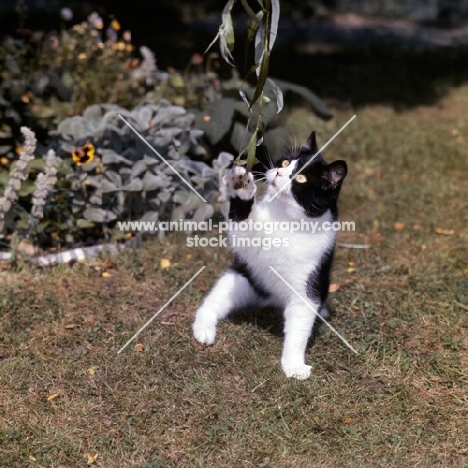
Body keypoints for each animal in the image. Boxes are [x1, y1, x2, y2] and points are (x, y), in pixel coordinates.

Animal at [192, 132, 346, 380]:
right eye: (284, 163)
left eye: (301, 178)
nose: (278, 173)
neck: (285, 217)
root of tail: (272, 299)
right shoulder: (249, 240)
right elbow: (242, 228)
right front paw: (242, 187)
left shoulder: (306, 289)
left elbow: (299, 331)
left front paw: (294, 365)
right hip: (241, 278)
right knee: (213, 301)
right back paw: (203, 329)